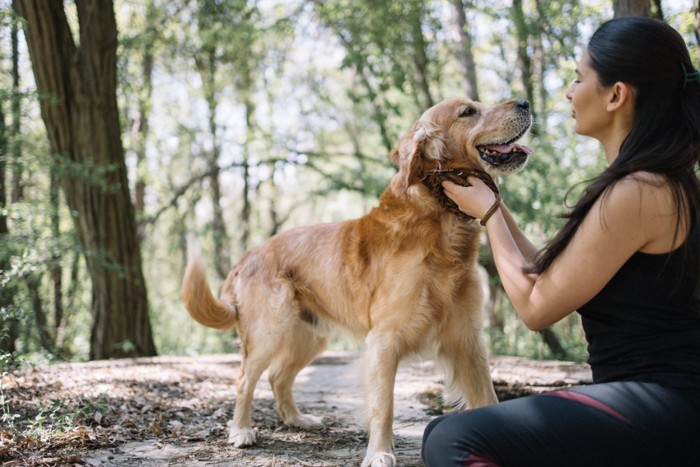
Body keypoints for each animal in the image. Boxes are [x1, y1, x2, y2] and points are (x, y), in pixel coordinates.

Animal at [180, 96, 532, 467]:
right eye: (468, 112)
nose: (525, 102)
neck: (438, 218)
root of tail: (248, 256)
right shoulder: (384, 340)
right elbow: (384, 406)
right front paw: (379, 452)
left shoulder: (467, 339)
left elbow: (488, 397)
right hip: (269, 333)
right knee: (245, 380)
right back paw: (241, 430)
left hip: (309, 337)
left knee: (278, 377)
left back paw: (297, 419)